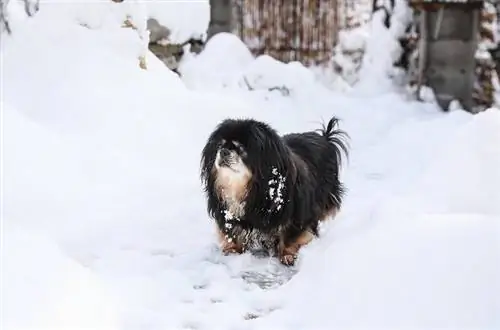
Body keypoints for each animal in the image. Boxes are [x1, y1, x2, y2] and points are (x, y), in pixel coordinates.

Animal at [199, 116, 348, 266]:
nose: (223, 151)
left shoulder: (294, 217)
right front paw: (233, 250)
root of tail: (325, 138)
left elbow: (290, 237)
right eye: (220, 145)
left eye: (240, 148)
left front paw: (287, 255)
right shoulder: (228, 213)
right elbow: (232, 233)